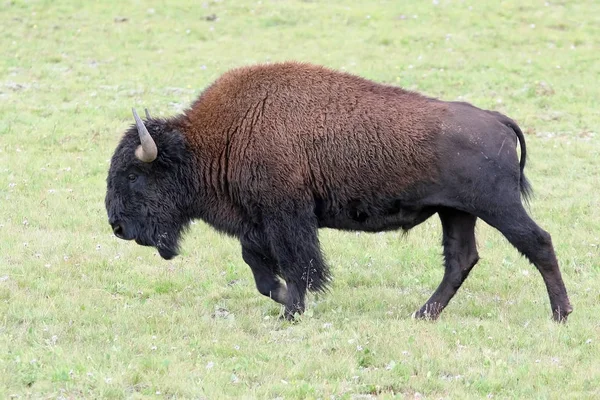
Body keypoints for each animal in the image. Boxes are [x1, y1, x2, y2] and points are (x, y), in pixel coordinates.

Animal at [105, 61, 576, 322]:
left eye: (133, 176)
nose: (116, 226)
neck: (218, 138)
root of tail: (496, 119)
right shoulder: (257, 223)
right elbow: (259, 269)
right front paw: (282, 300)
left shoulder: (287, 218)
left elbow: (298, 266)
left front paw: (291, 311)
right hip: (456, 212)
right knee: (461, 260)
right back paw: (422, 315)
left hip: (497, 206)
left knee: (538, 242)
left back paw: (560, 315)